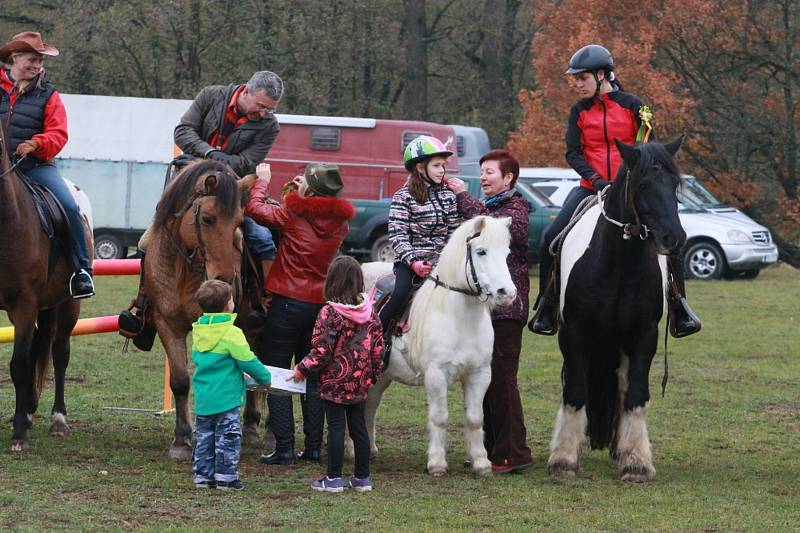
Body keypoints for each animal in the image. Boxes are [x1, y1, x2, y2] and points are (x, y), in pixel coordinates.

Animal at [0, 128, 93, 448]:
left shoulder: (25, 303)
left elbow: (18, 365)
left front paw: (19, 434)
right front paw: (22, 420)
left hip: (67, 305)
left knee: (59, 352)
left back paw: (57, 420)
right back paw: (28, 412)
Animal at [142, 160, 255, 460]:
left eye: (238, 223)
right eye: (208, 219)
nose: (226, 280)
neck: (181, 269)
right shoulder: (167, 324)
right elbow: (181, 380)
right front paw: (182, 439)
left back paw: (253, 428)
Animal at [360, 214, 512, 476]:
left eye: (507, 253)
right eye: (481, 251)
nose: (507, 293)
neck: (460, 319)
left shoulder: (479, 374)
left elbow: (475, 418)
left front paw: (481, 463)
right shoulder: (436, 375)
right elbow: (440, 418)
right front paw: (437, 463)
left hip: (382, 377)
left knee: (370, 406)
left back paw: (369, 450)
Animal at [552, 137, 688, 482]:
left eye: (675, 185)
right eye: (642, 185)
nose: (674, 238)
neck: (619, 264)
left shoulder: (644, 336)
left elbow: (636, 395)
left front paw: (636, 462)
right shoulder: (574, 334)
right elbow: (575, 391)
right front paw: (563, 459)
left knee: (624, 388)